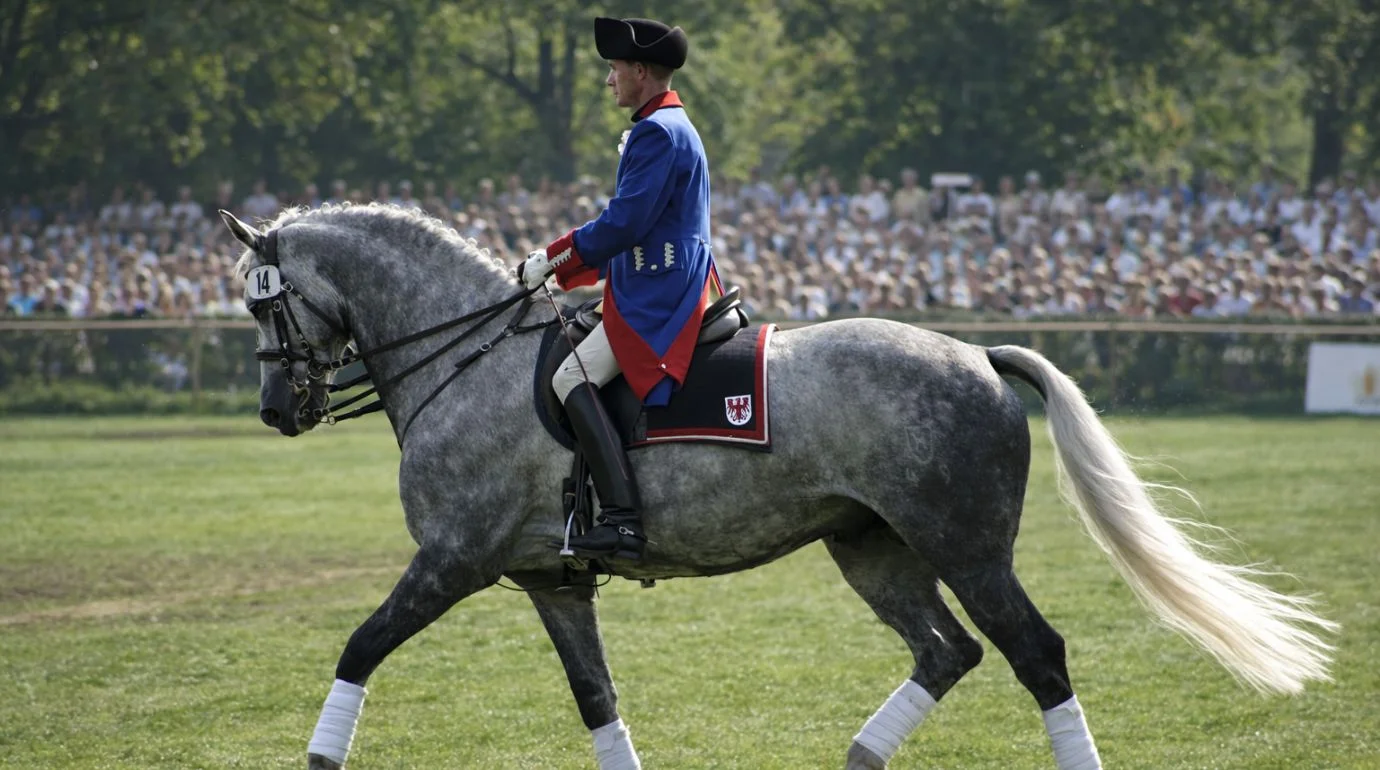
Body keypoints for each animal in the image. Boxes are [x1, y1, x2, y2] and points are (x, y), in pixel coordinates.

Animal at [219, 204, 1335, 770]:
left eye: (266, 305)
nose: (278, 409)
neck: (468, 356)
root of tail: (974, 354)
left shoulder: (451, 560)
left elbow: (358, 647)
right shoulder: (552, 582)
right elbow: (598, 700)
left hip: (968, 549)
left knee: (1036, 655)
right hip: (872, 549)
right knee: (948, 651)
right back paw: (859, 755)